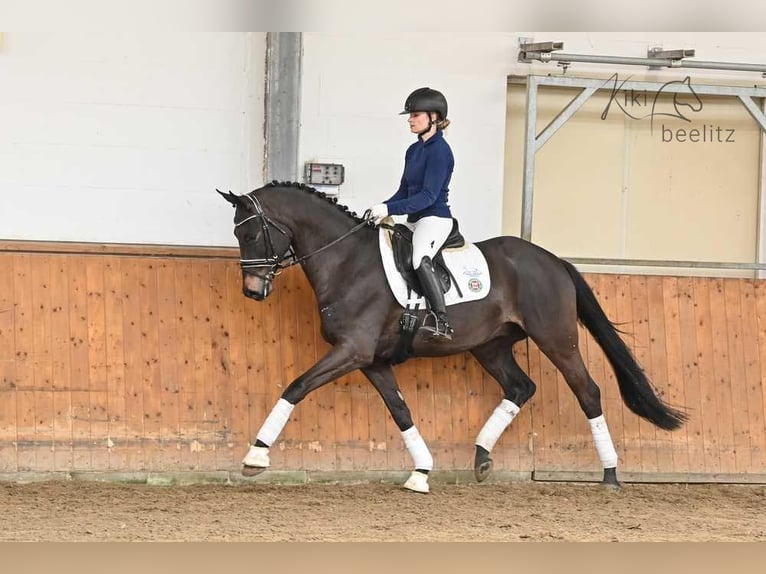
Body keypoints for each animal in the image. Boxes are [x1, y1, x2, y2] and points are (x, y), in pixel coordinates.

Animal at [218, 182, 688, 492]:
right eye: (237, 233)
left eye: (252, 232)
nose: (253, 291)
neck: (347, 261)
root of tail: (553, 260)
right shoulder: (372, 360)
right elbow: (401, 412)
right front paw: (421, 471)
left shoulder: (352, 351)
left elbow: (295, 386)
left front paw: (256, 455)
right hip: (491, 346)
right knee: (521, 387)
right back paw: (481, 456)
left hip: (556, 339)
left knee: (587, 391)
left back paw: (610, 475)